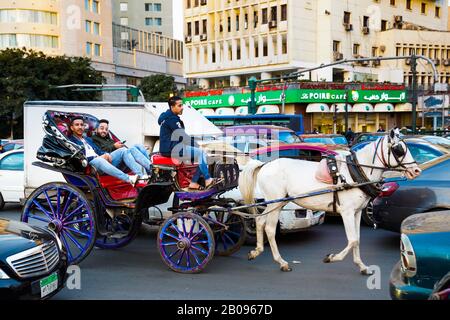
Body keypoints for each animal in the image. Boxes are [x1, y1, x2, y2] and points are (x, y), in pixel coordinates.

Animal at [239, 129, 422, 274]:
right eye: (399, 150)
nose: (416, 170)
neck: (356, 171)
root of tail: (263, 165)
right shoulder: (346, 212)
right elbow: (352, 240)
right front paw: (332, 257)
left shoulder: (356, 213)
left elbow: (357, 239)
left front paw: (362, 267)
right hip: (275, 204)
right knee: (270, 229)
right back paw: (281, 262)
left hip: (276, 202)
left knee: (260, 221)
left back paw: (257, 251)